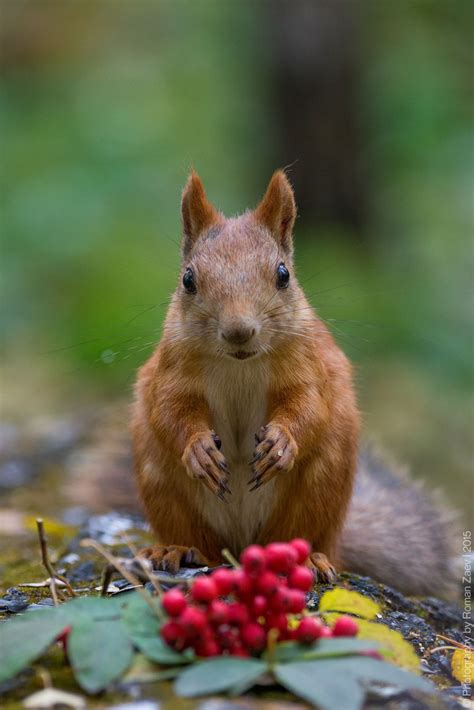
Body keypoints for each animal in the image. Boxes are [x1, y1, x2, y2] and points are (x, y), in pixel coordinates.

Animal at [131, 172, 460, 600]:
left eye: (283, 275)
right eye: (188, 279)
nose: (239, 331)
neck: (239, 365)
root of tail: (242, 547)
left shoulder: (308, 364)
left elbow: (308, 405)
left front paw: (282, 442)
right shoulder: (171, 368)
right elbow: (169, 409)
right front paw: (198, 449)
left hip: (320, 488)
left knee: (302, 535)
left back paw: (309, 560)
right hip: (162, 484)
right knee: (199, 542)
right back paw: (175, 549)